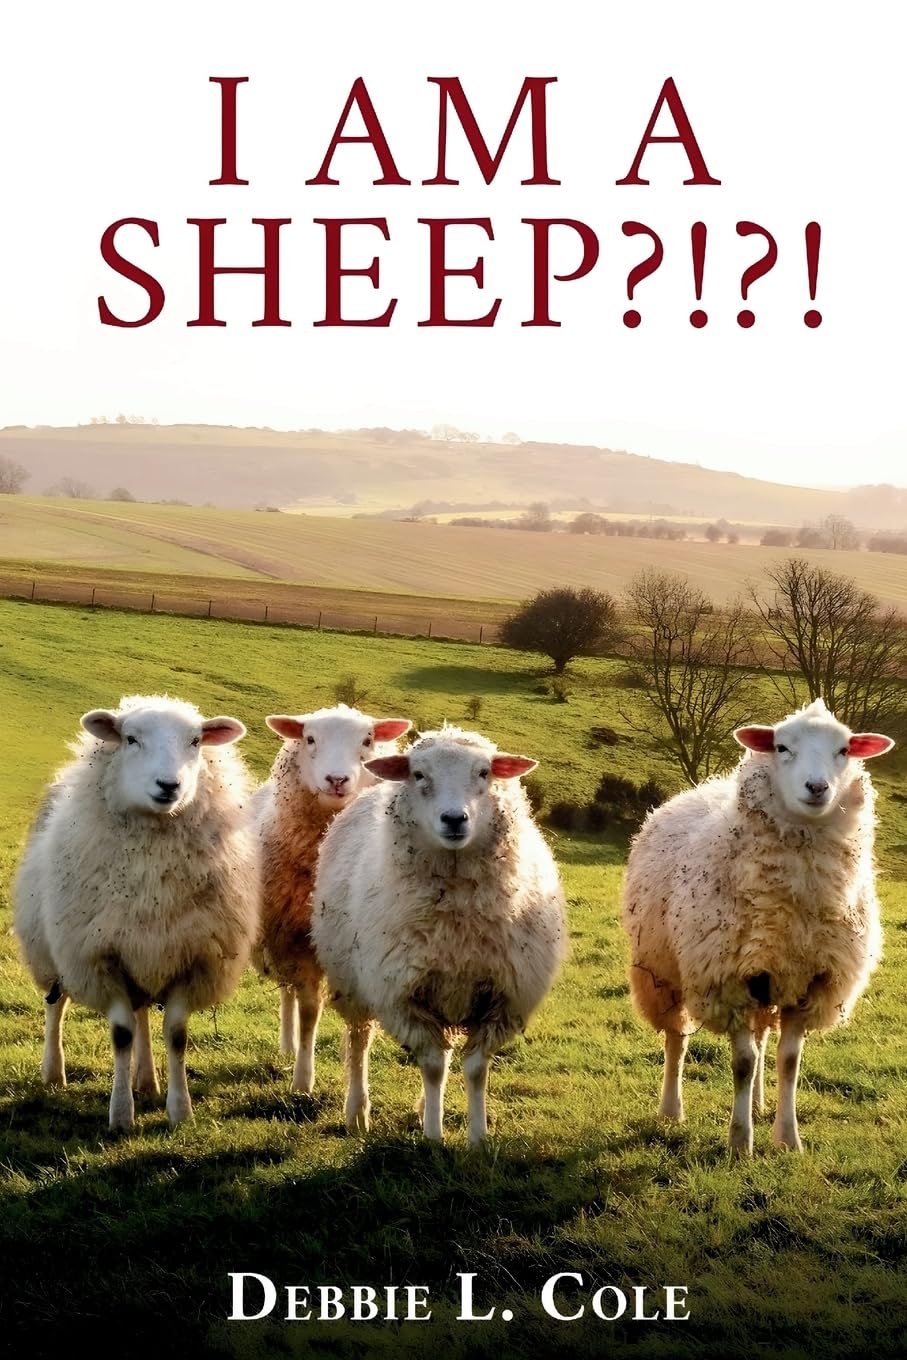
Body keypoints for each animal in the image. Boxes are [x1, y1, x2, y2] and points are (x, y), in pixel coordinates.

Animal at [13, 694, 258, 1133]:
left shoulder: (190, 958)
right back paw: (54, 1072)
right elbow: (121, 1034)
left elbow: (175, 1035)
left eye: (196, 741)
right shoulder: (102, 958)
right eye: (130, 739)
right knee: (55, 1007)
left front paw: (180, 1111)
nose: (169, 785)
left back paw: (146, 1080)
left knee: (143, 1012)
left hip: (146, 955)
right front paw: (121, 1115)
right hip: (53, 952)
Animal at [252, 704, 411, 1093]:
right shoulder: (296, 941)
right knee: (288, 992)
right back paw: (288, 1044)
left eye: (368, 740)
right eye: (310, 738)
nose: (337, 780)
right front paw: (302, 1079)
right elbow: (310, 1010)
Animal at [311, 726, 567, 1144]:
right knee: (359, 1041)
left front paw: (477, 1138)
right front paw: (433, 1137)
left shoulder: (500, 1002)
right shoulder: (404, 997)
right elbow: (432, 1066)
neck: (456, 920)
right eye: (418, 774)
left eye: (484, 773)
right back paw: (358, 1112)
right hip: (353, 983)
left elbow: (475, 1069)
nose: (454, 819)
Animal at [621, 698, 894, 1155]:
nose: (817, 787)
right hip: (664, 973)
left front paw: (787, 1138)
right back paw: (672, 1109)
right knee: (676, 1040)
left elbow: (789, 1062)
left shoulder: (809, 982)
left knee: (763, 1037)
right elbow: (743, 1063)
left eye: (844, 750)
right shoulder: (729, 982)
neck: (796, 908)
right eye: (782, 747)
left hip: (767, 981)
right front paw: (740, 1141)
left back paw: (762, 1104)